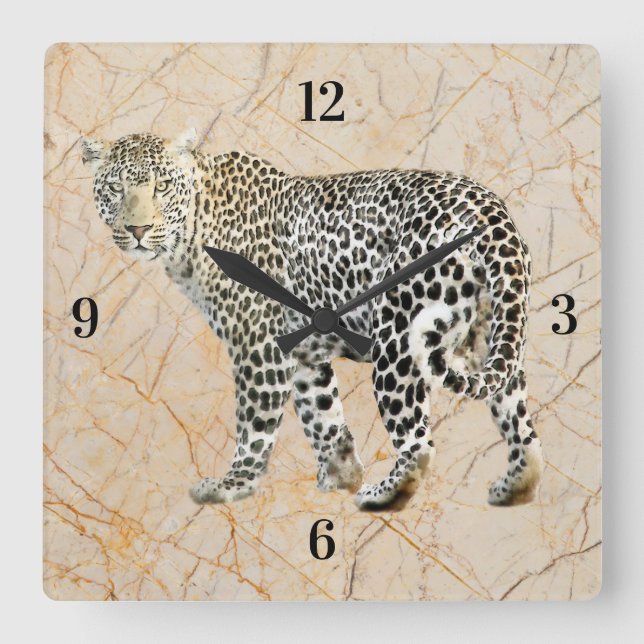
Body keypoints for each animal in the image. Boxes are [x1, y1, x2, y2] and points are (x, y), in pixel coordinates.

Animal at [81, 128, 544, 510]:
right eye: (116, 188)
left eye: (161, 187)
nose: (138, 230)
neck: (192, 234)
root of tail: (488, 208)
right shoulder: (303, 353)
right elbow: (324, 417)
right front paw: (340, 476)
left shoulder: (259, 348)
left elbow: (255, 425)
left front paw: (232, 485)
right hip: (491, 335)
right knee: (521, 423)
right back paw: (515, 487)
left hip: (397, 345)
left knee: (419, 442)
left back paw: (382, 495)